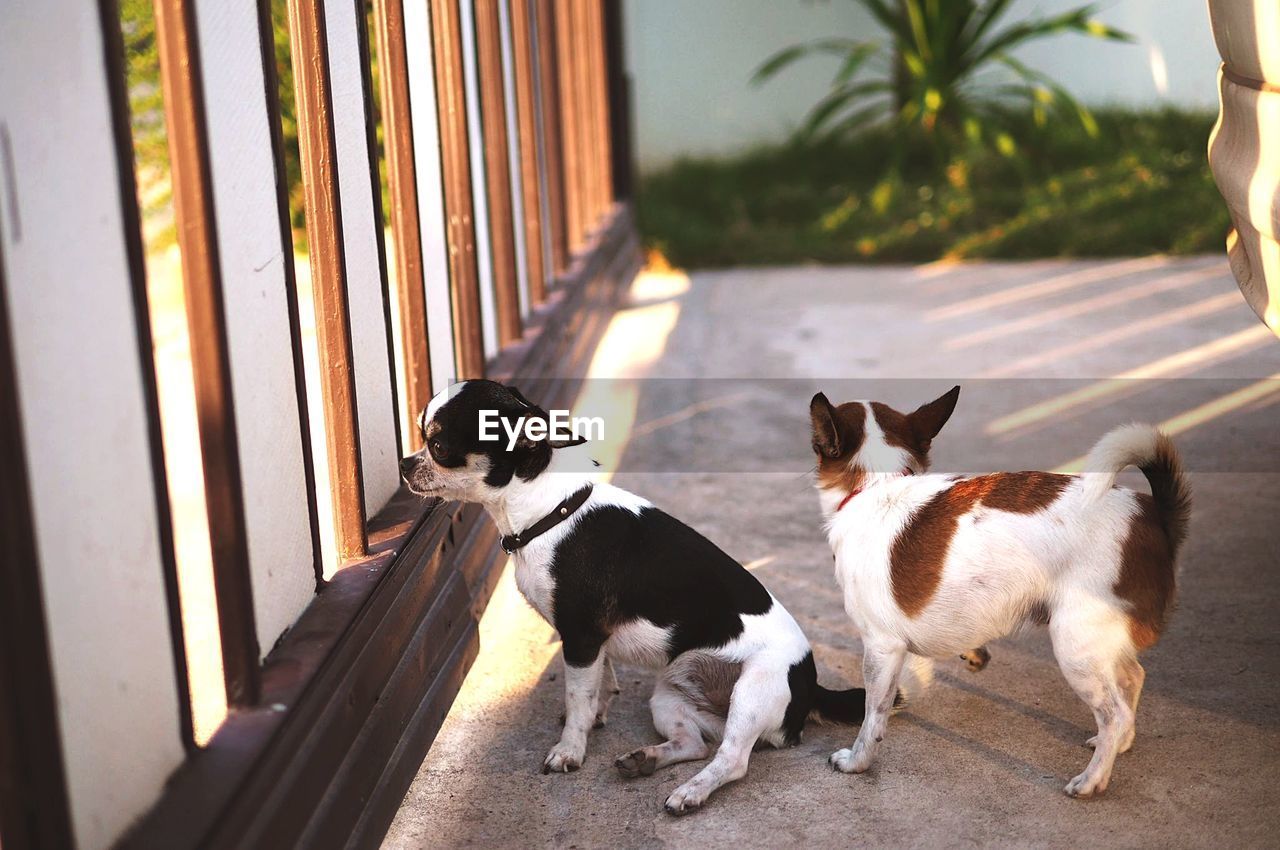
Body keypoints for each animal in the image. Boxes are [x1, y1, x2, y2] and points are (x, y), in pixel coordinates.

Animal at [401, 381, 870, 814]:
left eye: (438, 446)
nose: (405, 464)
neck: (549, 510)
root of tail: (813, 684)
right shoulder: (594, 643)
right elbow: (597, 684)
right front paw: (596, 716)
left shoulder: (581, 637)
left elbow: (578, 696)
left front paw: (570, 748)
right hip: (670, 696)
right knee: (695, 743)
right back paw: (645, 760)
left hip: (752, 693)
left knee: (732, 759)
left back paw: (689, 793)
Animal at [808, 389, 1187, 798]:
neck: (878, 487)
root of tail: (1155, 517)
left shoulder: (881, 647)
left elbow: (873, 715)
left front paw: (856, 761)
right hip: (1103, 642)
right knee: (1132, 679)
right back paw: (1118, 743)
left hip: (1076, 647)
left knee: (1114, 712)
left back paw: (1093, 778)